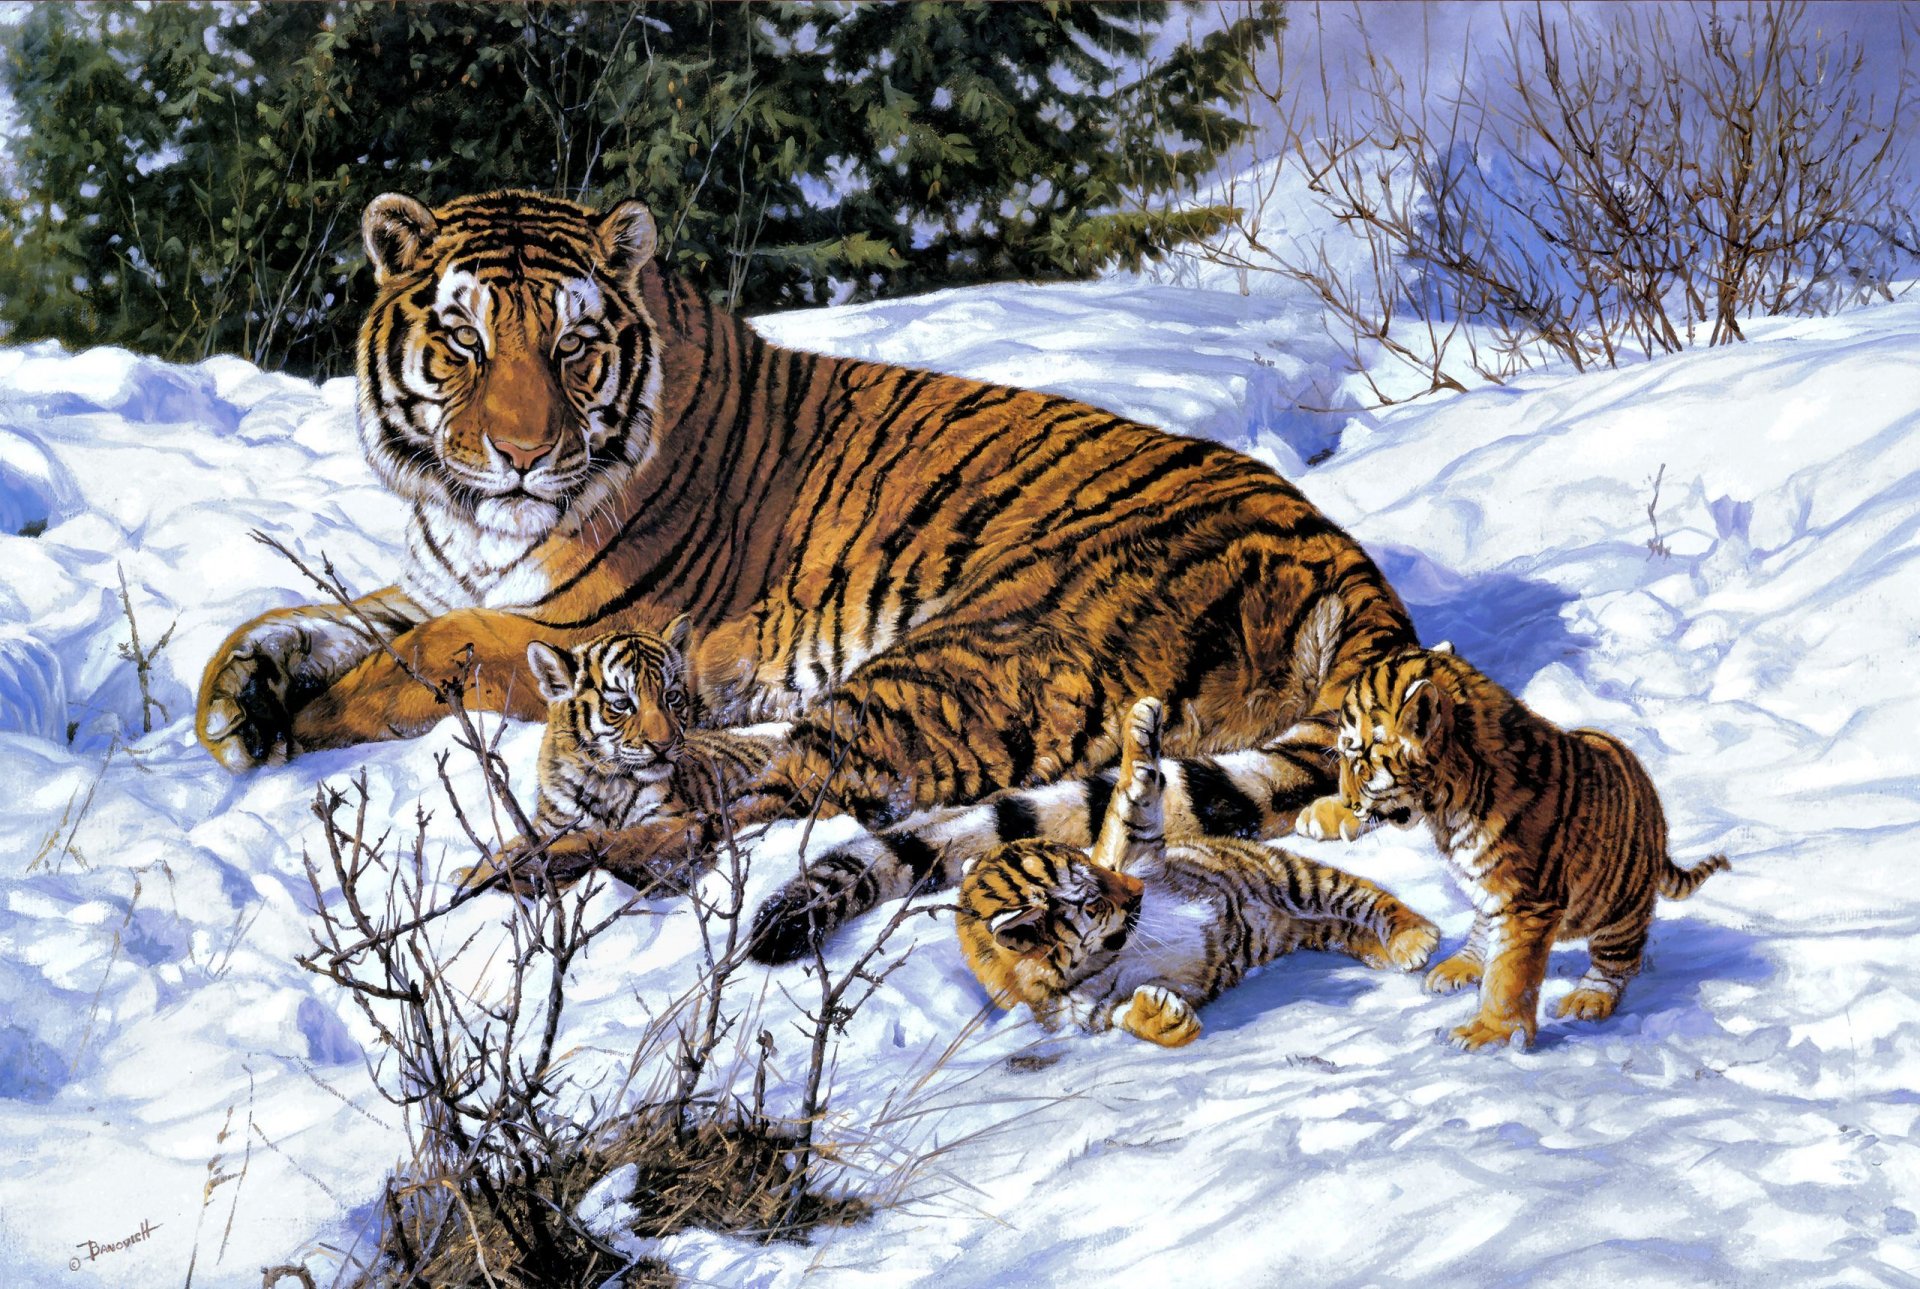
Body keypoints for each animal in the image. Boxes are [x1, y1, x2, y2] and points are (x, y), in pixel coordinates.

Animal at [192, 188, 1414, 947]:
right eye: (463, 340)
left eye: (574, 346)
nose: (524, 453)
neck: (477, 521)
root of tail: (1349, 573)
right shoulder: (448, 580)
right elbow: (329, 612)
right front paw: (239, 695)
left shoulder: (586, 630)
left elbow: (422, 652)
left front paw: (303, 723)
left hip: (958, 656)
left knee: (745, 814)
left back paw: (519, 866)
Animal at [957, 697, 1440, 1046]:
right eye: (1092, 902)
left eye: (1093, 867)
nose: (1136, 890)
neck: (1108, 953)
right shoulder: (1091, 1010)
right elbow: (1127, 1018)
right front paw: (1161, 1016)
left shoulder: (1135, 852)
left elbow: (1128, 799)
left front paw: (1140, 721)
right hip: (1308, 919)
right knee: (1350, 922)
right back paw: (1392, 951)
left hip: (1291, 878)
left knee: (1370, 898)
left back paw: (1413, 938)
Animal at [1295, 645, 1730, 1051]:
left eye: (1356, 756)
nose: (1347, 798)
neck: (1445, 806)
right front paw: (1322, 814)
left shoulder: (1528, 903)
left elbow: (1510, 974)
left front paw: (1489, 1033)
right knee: (1484, 928)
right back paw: (1457, 967)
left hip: (1620, 909)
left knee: (1617, 962)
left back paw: (1588, 999)